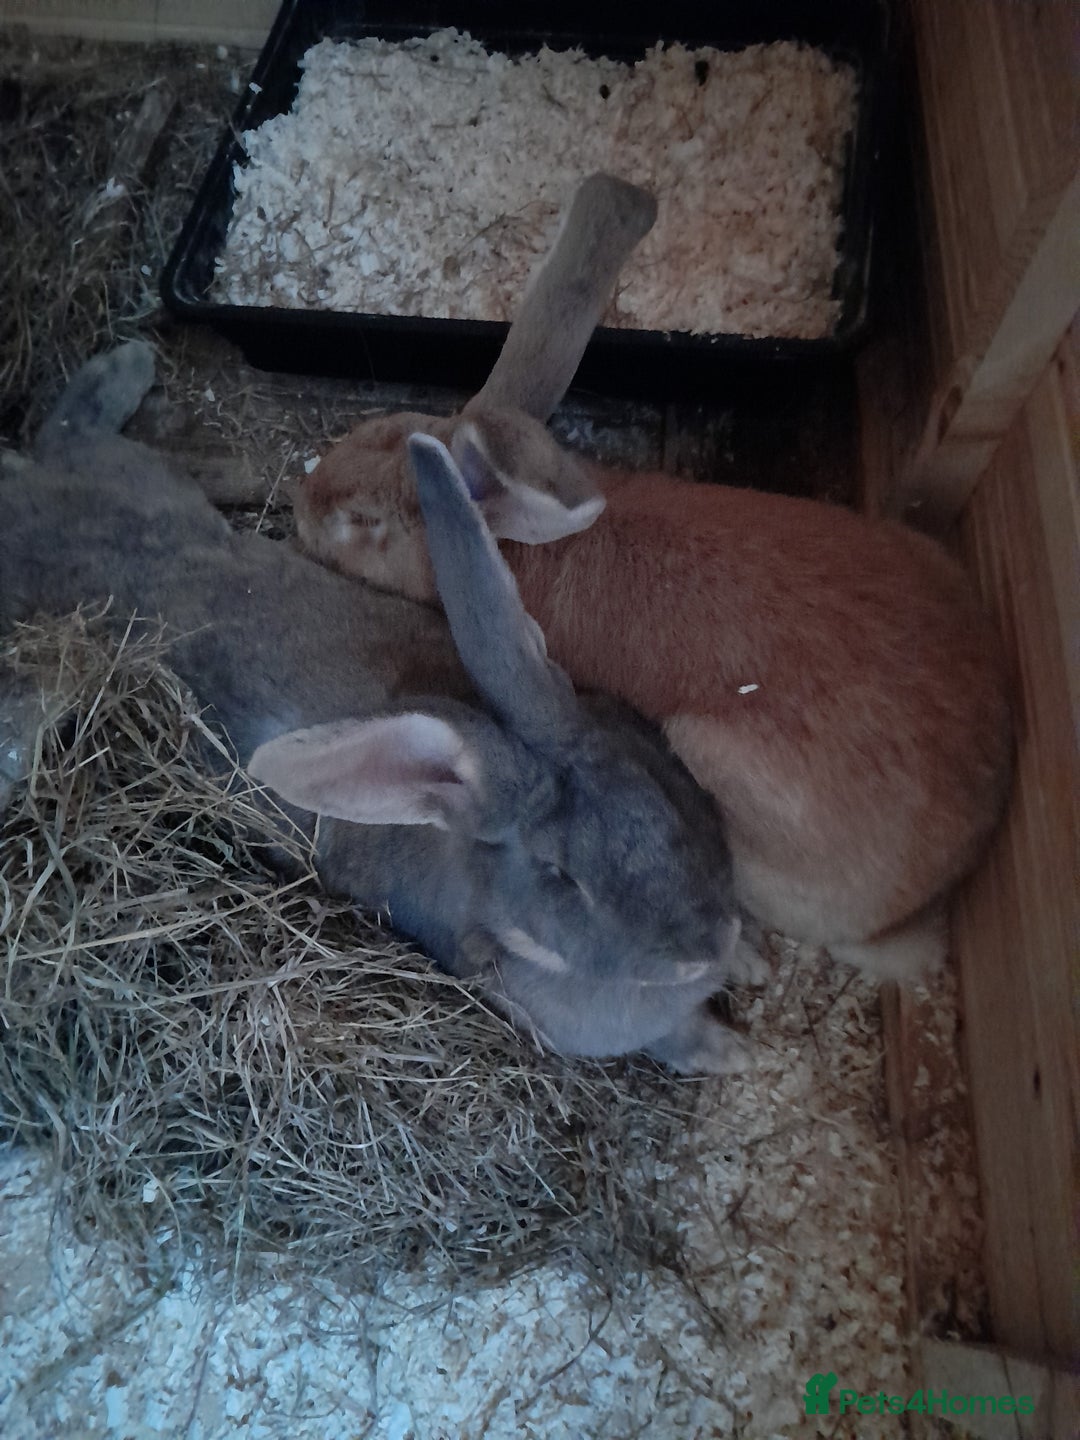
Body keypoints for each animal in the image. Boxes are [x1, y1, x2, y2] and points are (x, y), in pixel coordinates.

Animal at [0, 339, 756, 1076]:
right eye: (562, 876)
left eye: (660, 785)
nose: (707, 946)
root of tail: (26, 515)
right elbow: (675, 1041)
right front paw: (729, 1054)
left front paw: (748, 966)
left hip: (140, 478)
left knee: (65, 434)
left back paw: (128, 362)